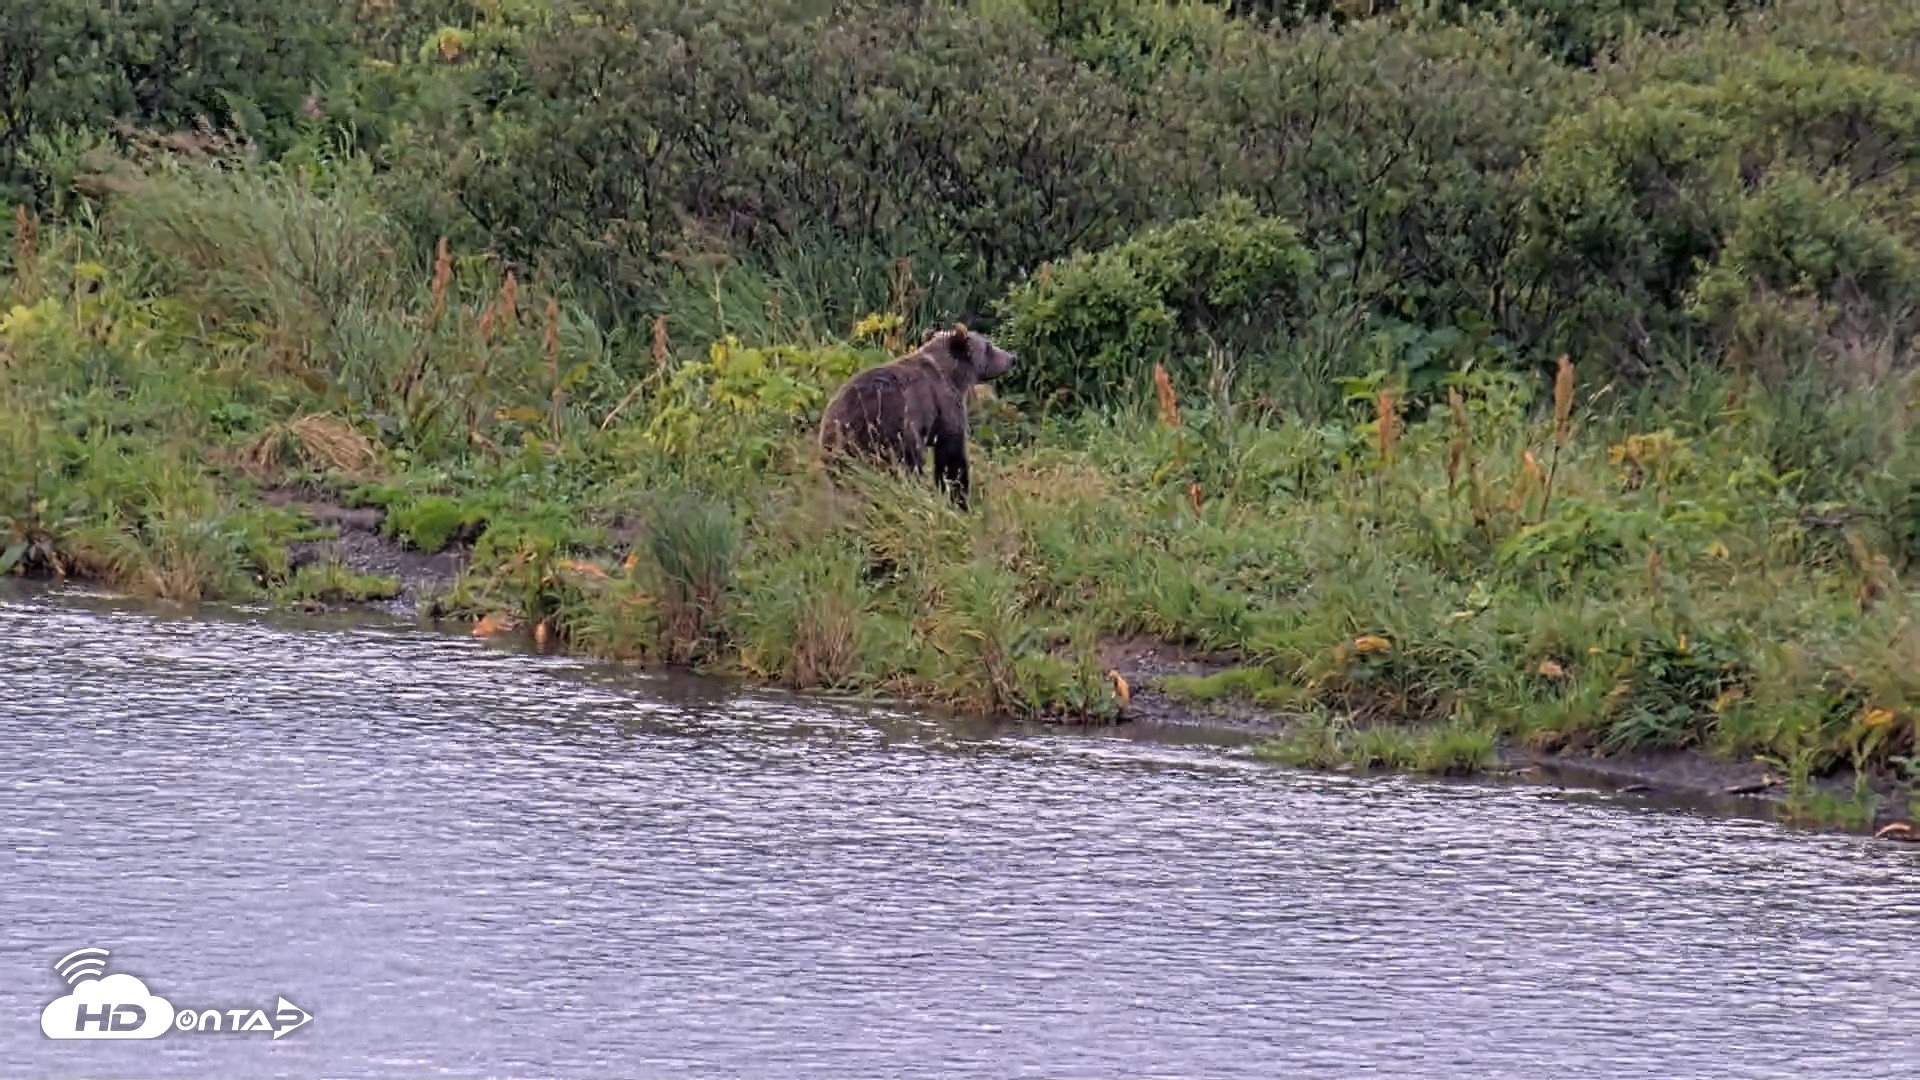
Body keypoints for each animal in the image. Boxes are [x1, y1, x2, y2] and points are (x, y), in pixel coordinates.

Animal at [816, 322, 1017, 511]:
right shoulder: (946, 407)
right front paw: (958, 497)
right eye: (989, 346)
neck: (955, 376)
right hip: (888, 432)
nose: (1012, 358)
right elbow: (952, 457)